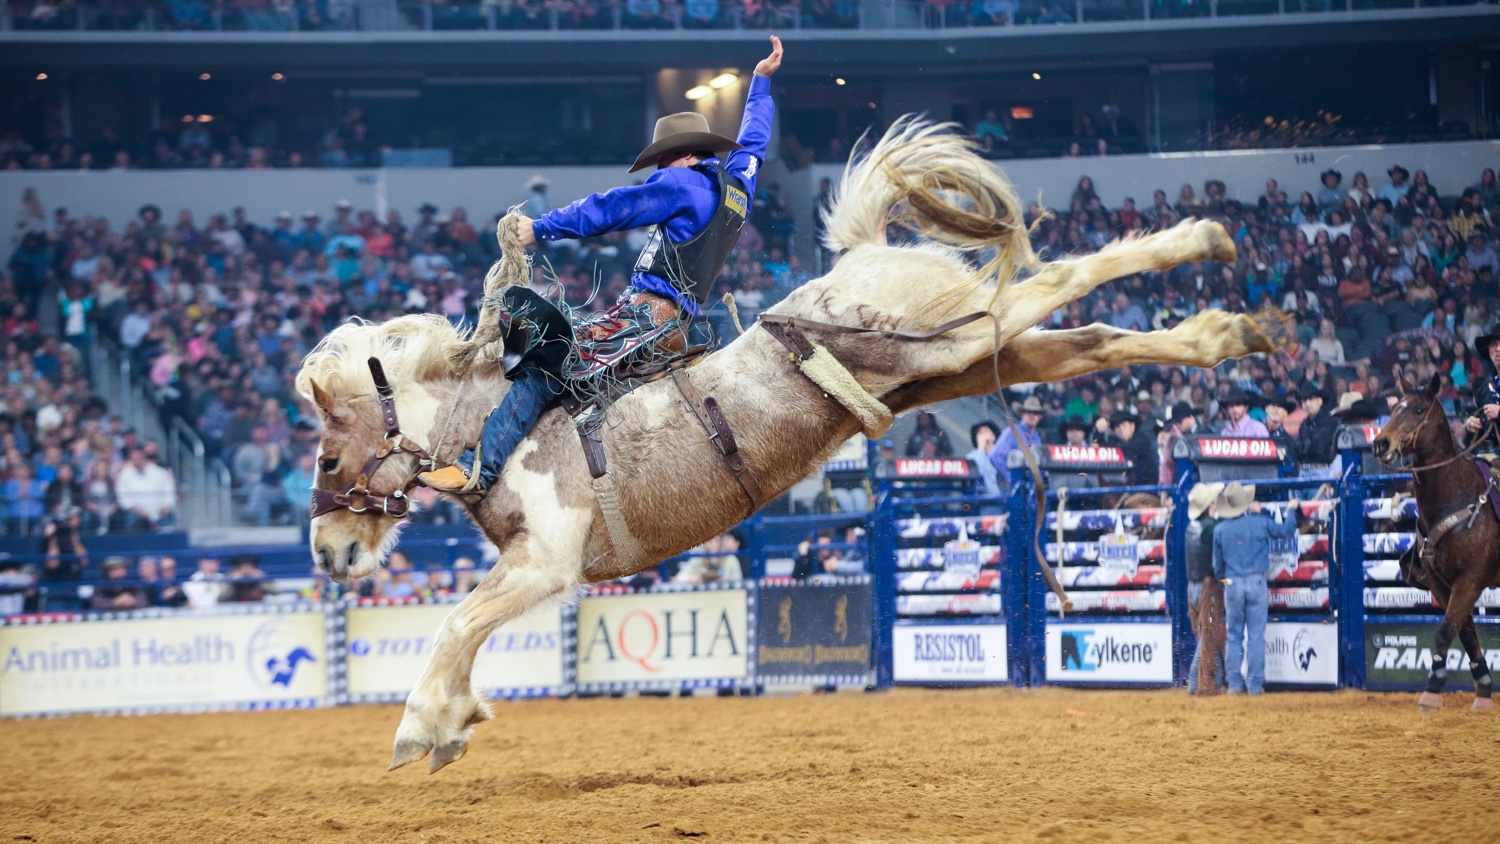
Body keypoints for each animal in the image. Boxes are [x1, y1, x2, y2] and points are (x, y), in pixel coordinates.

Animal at [295, 119, 1278, 773]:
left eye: (329, 459)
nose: (329, 553)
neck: (504, 419)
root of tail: (860, 258)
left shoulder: (547, 562)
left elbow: (457, 620)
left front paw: (422, 726)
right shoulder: (531, 568)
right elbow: (464, 626)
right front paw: (455, 722)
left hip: (936, 336)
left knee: (1060, 275)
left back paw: (1204, 239)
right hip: (951, 366)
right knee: (1093, 338)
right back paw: (1227, 328)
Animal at [1374, 376, 1494, 713]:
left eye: (1418, 410)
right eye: (1394, 408)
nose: (1381, 444)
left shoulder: (1470, 580)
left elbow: (1444, 632)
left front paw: (1432, 689)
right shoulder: (1443, 583)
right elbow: (1464, 632)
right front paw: (1483, 689)